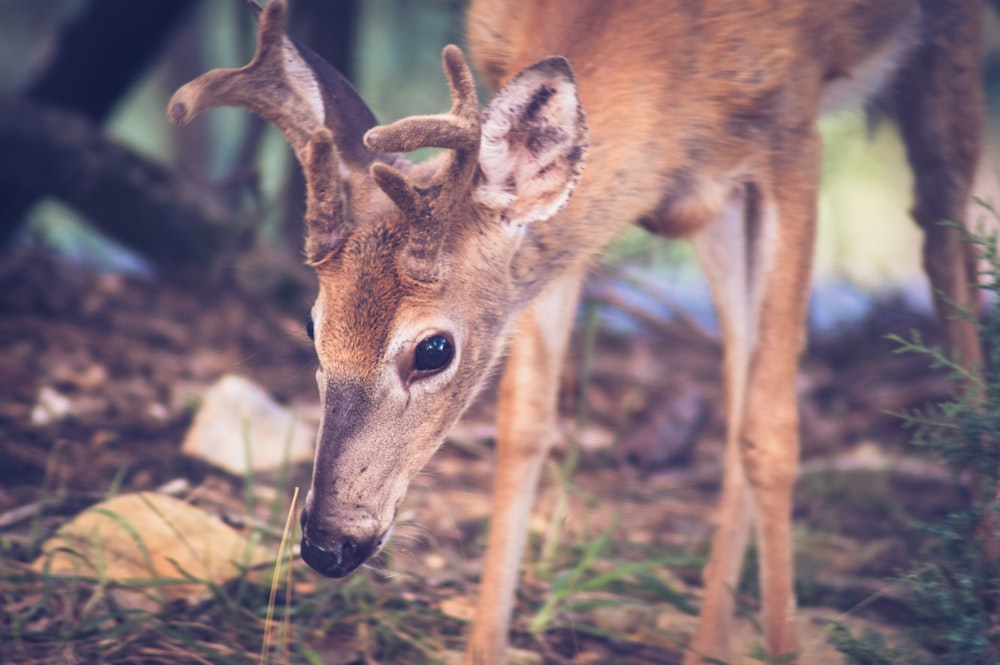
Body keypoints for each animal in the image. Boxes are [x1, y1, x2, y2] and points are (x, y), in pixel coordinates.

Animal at [166, 0, 984, 660]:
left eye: (434, 349)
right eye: (312, 326)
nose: (328, 543)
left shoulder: (794, 129)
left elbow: (772, 432)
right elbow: (527, 424)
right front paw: (484, 648)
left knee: (945, 245)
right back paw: (708, 644)